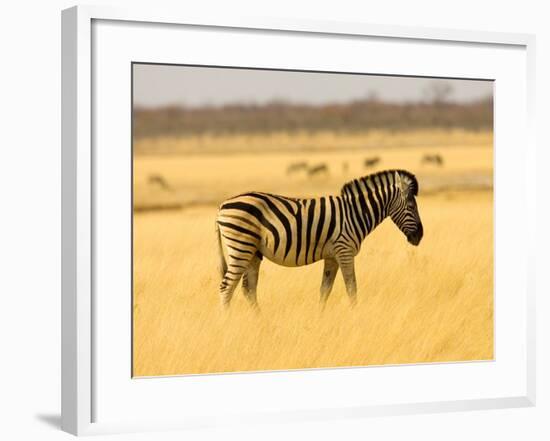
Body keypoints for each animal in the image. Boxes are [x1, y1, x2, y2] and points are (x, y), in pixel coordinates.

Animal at [215, 168, 422, 310]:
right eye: (411, 206)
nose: (420, 236)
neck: (355, 213)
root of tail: (222, 205)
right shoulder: (345, 251)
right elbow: (352, 288)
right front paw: (355, 314)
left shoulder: (332, 256)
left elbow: (325, 290)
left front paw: (320, 317)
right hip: (241, 246)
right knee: (227, 287)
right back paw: (227, 323)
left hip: (253, 251)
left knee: (248, 289)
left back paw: (259, 321)